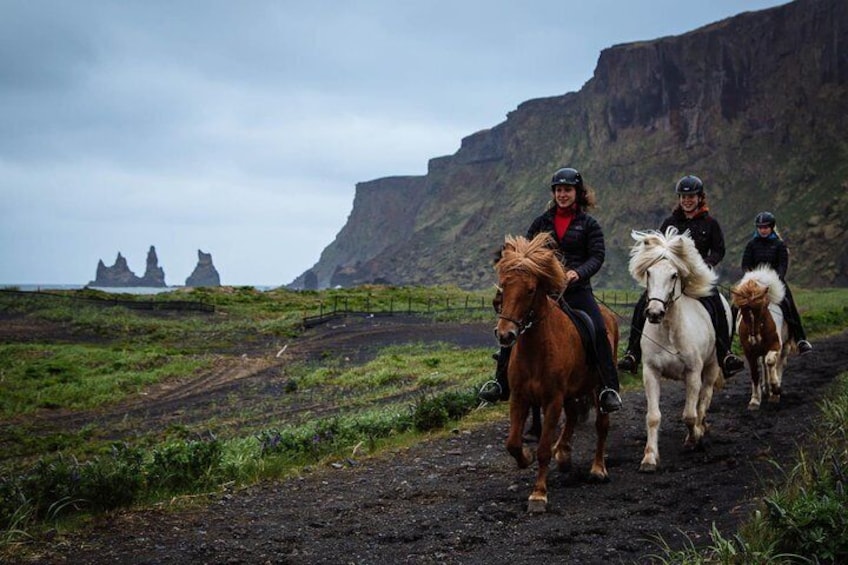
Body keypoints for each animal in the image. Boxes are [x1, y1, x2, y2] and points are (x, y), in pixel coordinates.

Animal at [490, 231, 616, 512]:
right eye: (504, 286)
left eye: (530, 290)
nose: (505, 335)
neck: (537, 349)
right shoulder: (519, 397)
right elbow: (512, 443)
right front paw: (525, 458)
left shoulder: (552, 400)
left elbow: (544, 449)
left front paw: (538, 495)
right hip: (571, 392)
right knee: (572, 416)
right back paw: (565, 454)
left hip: (597, 388)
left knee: (601, 425)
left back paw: (598, 469)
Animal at [628, 226, 728, 472]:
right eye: (649, 273)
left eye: (674, 275)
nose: (654, 313)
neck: (669, 332)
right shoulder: (651, 372)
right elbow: (653, 416)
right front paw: (650, 458)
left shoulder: (693, 372)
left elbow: (689, 415)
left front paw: (694, 440)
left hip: (711, 367)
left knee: (704, 398)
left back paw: (701, 429)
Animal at [732, 266, 792, 408]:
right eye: (743, 311)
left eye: (761, 309)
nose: (754, 339)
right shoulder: (749, 351)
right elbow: (755, 373)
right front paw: (754, 400)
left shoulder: (776, 344)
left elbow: (771, 362)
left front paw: (776, 388)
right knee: (765, 364)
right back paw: (766, 389)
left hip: (785, 345)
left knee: (778, 363)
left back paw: (774, 391)